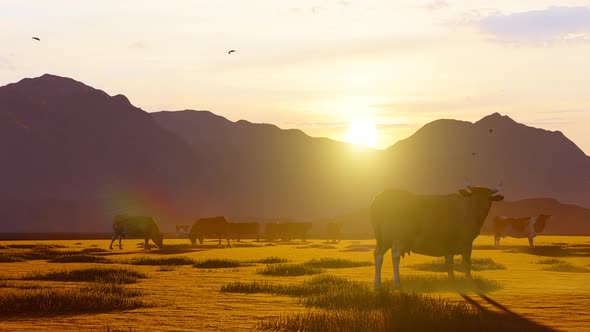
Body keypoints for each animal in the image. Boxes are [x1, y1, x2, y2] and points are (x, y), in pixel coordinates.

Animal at [374, 183, 504, 290]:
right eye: (473, 196)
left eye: (488, 198)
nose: (480, 208)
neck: (468, 211)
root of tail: (380, 199)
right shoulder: (466, 244)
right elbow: (466, 265)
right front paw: (470, 283)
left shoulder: (449, 246)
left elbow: (450, 266)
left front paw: (453, 283)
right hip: (398, 238)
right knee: (395, 256)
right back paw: (397, 284)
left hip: (383, 240)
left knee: (378, 255)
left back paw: (377, 285)